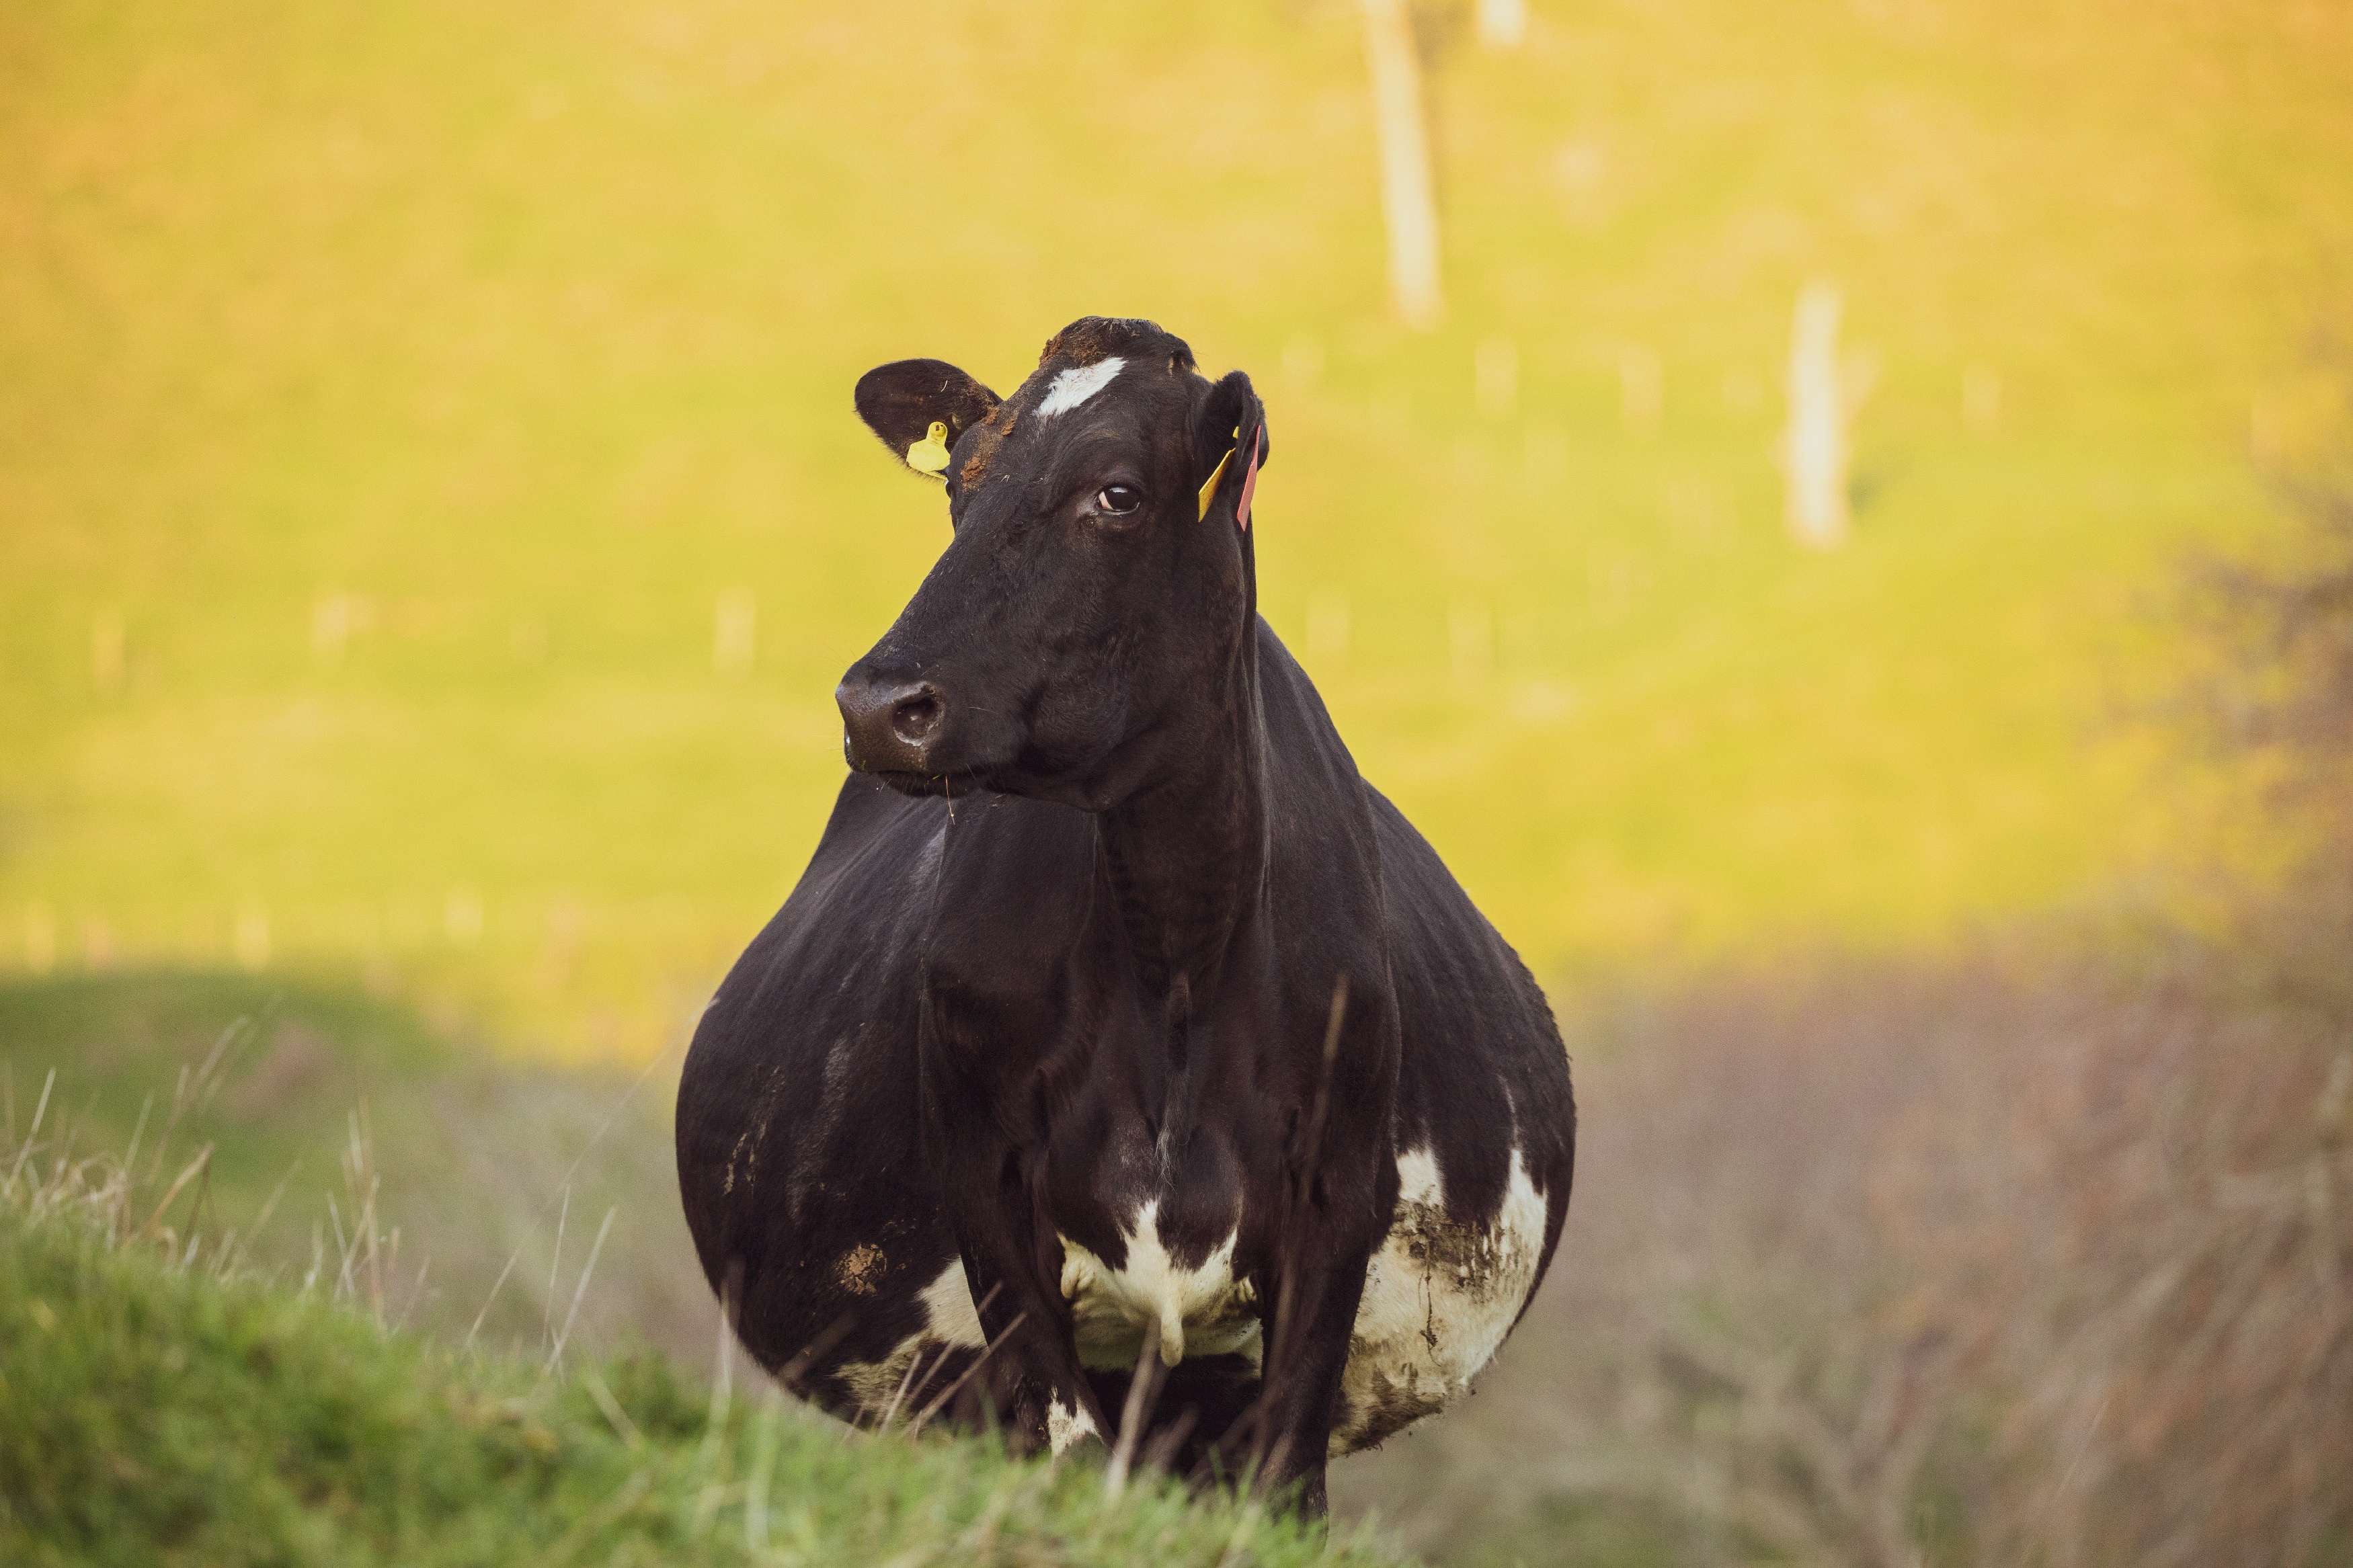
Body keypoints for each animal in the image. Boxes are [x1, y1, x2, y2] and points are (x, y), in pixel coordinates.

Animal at [673, 315, 1572, 1504]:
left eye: (1118, 493)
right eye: (957, 481)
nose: (878, 705)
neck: (1176, 954)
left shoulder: (1335, 1210)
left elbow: (1284, 1487)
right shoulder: (989, 1192)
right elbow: (1067, 1452)